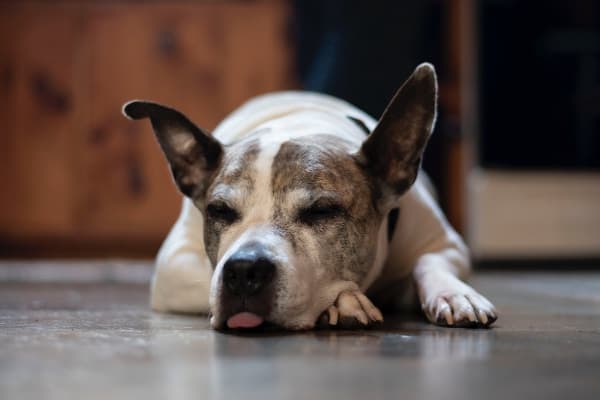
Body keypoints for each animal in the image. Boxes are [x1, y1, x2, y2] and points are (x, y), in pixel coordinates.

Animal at [122, 63, 496, 332]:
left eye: (321, 211)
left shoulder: (447, 244)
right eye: (220, 210)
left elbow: (428, 261)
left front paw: (455, 293)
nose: (244, 269)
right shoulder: (172, 266)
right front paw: (344, 301)